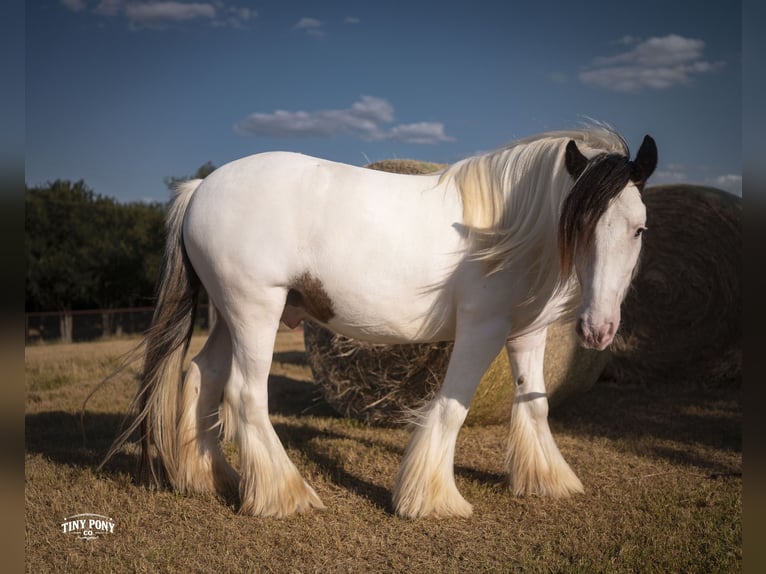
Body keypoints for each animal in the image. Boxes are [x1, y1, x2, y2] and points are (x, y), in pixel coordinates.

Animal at [105, 126, 657, 518]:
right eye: (578, 224)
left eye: (638, 228)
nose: (598, 330)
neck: (509, 227)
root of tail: (201, 187)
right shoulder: (483, 328)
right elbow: (452, 408)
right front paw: (431, 499)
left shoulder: (527, 332)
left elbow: (535, 404)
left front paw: (548, 480)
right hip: (254, 311)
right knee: (244, 394)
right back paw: (285, 495)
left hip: (227, 316)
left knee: (204, 376)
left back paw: (210, 477)